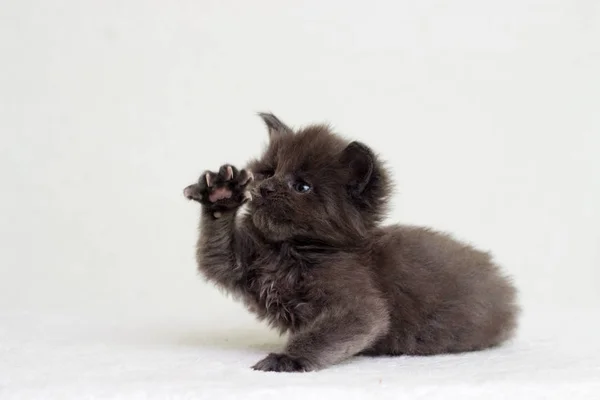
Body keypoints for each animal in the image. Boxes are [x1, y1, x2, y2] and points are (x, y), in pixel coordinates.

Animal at [184, 112, 520, 372]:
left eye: (301, 186)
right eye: (268, 172)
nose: (265, 188)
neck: (288, 250)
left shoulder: (357, 302)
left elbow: (335, 330)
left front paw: (287, 359)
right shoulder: (240, 263)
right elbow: (217, 256)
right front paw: (220, 194)